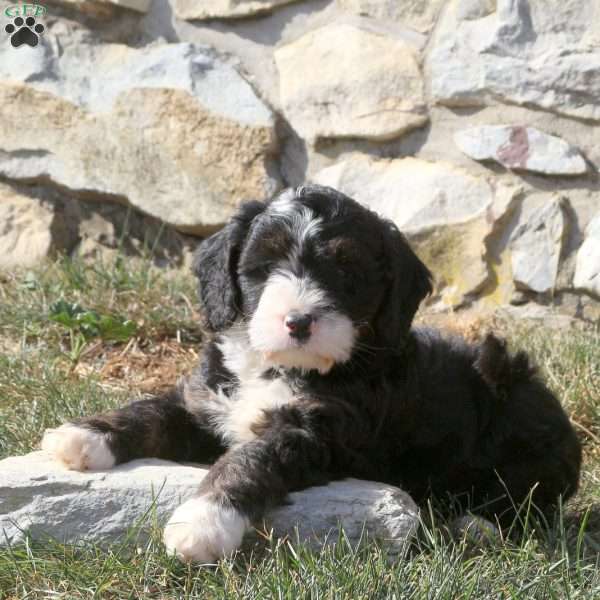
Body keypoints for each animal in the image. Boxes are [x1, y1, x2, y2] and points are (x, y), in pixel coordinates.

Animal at [39, 184, 580, 564]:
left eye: (346, 271)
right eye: (264, 266)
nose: (298, 321)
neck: (278, 366)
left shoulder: (316, 430)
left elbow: (250, 459)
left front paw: (203, 523)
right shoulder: (208, 400)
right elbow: (153, 410)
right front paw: (84, 436)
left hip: (517, 413)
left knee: (529, 502)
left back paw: (475, 525)